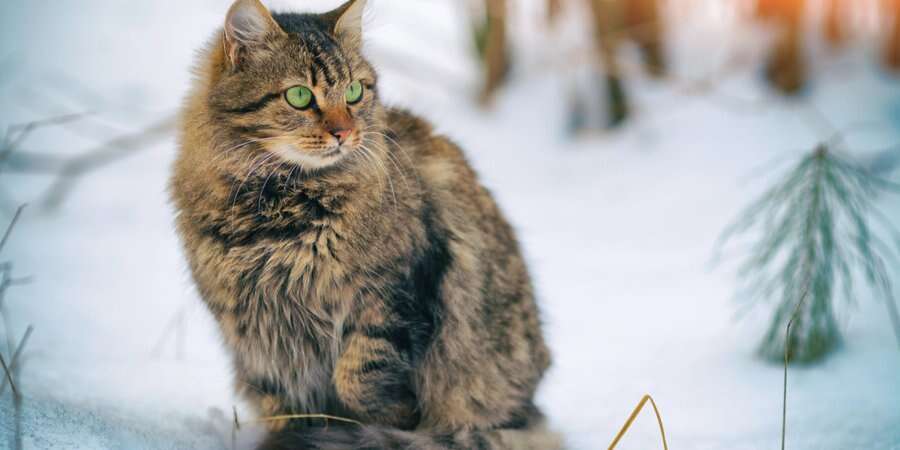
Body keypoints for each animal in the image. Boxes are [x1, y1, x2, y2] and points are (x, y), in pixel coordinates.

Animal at [171, 1, 560, 448]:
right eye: (299, 96)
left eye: (355, 92)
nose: (345, 132)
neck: (279, 213)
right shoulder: (258, 337)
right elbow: (284, 406)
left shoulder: (394, 293)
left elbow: (358, 376)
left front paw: (388, 419)